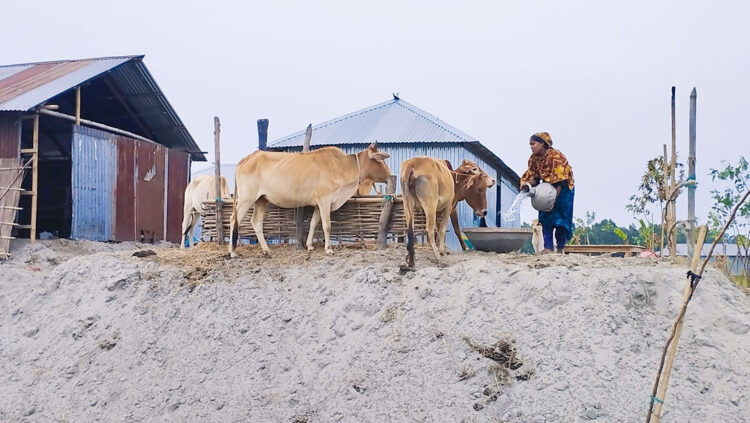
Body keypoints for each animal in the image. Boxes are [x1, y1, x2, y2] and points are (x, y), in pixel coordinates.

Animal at [229, 142, 394, 256]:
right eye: (380, 160)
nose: (390, 174)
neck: (343, 166)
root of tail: (246, 159)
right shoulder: (325, 200)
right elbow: (327, 225)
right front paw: (328, 249)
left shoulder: (317, 204)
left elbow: (314, 224)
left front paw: (309, 246)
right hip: (246, 199)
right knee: (233, 220)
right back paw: (232, 252)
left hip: (262, 200)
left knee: (256, 222)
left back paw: (266, 250)